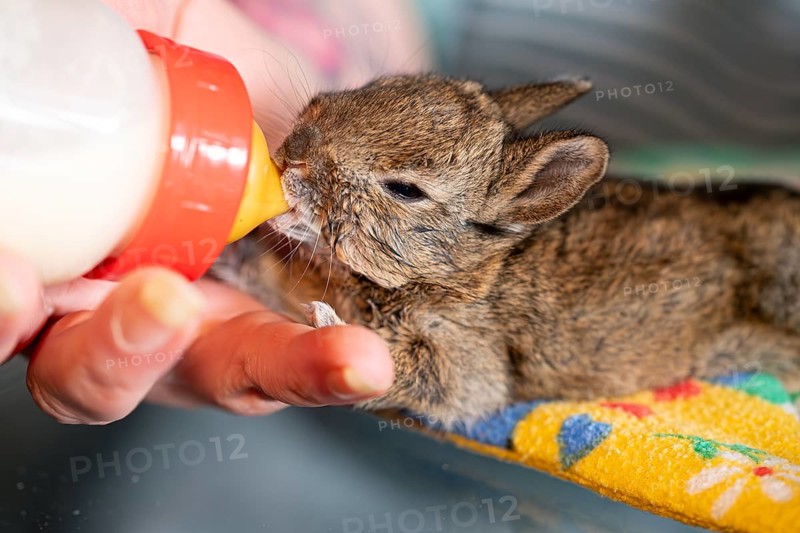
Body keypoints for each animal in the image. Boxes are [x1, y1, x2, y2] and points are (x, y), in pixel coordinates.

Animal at [213, 74, 800, 428]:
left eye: (405, 190)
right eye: (362, 88)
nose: (294, 156)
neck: (462, 268)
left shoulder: (467, 355)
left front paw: (329, 324)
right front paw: (232, 258)